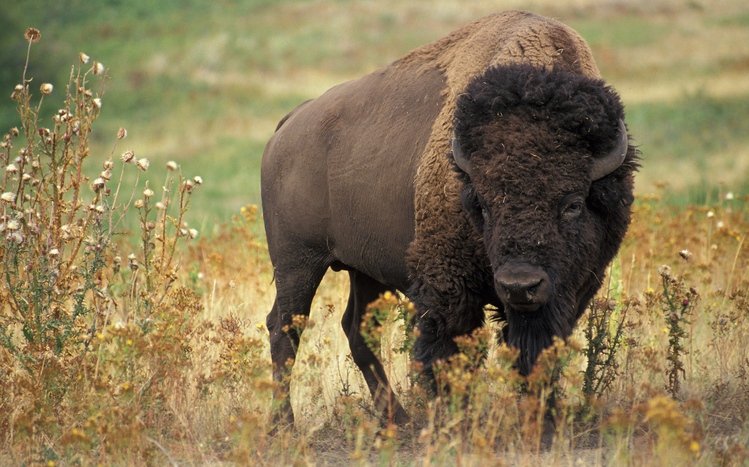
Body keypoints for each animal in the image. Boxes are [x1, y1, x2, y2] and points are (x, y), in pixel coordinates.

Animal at [261, 10, 638, 426]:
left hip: (364, 270)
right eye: (483, 205)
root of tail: (290, 123)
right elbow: (447, 353)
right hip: (297, 262)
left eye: (572, 203)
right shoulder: (448, 287)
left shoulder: (571, 290)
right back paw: (284, 424)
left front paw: (542, 418)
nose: (519, 285)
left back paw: (397, 419)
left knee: (357, 329)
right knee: (285, 328)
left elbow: (537, 352)